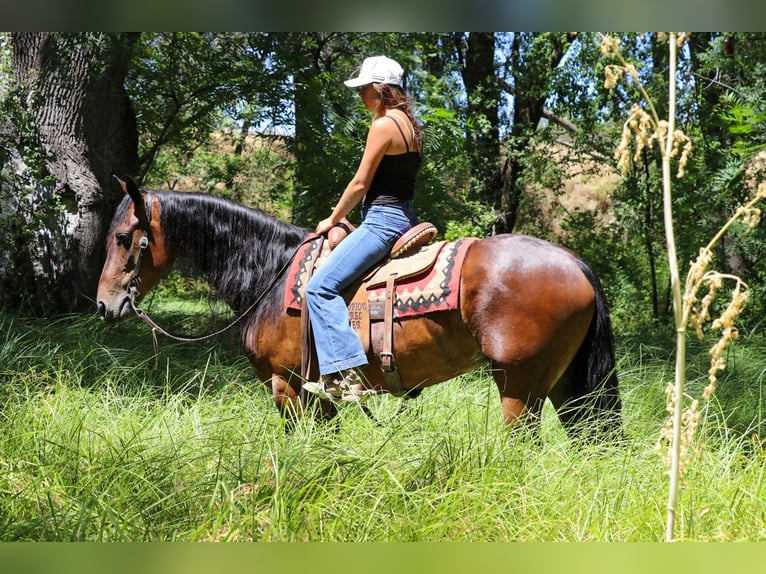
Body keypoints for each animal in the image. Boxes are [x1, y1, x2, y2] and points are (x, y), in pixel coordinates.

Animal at [96, 177, 622, 440]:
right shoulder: (319, 394)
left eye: (123, 238)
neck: (271, 276)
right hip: (567, 385)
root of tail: (574, 262)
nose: (104, 305)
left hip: (520, 384)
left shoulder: (285, 385)